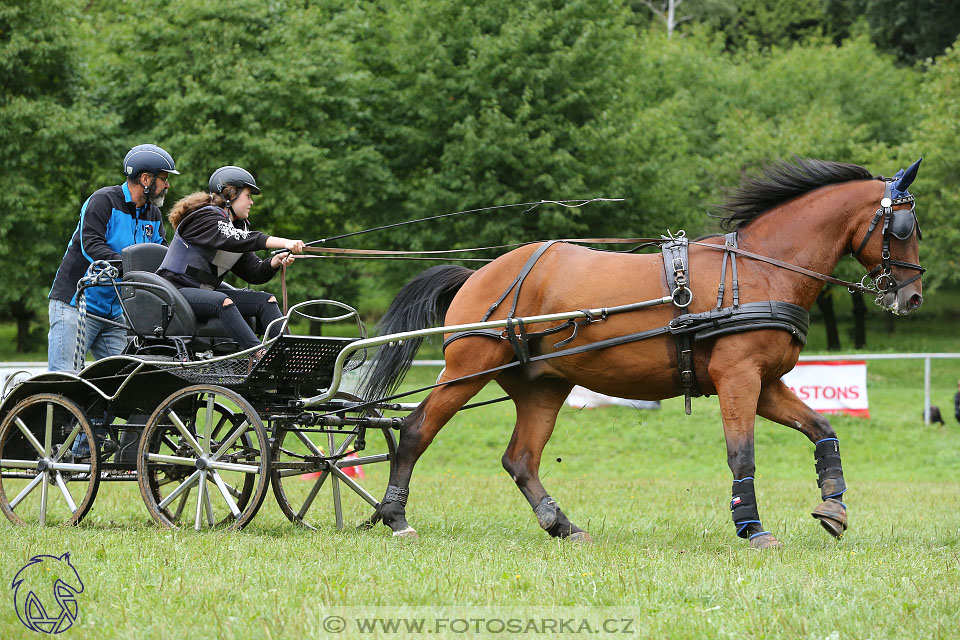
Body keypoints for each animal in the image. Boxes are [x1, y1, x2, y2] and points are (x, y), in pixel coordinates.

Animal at [358, 158, 924, 548]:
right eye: (903, 228)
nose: (913, 296)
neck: (760, 270)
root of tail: (481, 273)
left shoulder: (764, 384)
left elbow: (823, 429)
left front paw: (834, 507)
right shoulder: (739, 377)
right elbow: (742, 453)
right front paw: (752, 527)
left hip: (543, 386)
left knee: (520, 459)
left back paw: (562, 525)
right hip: (468, 369)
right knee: (415, 431)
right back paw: (395, 517)